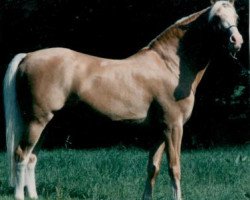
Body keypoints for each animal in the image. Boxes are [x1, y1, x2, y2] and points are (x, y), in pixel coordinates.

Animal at [2, 0, 243, 200]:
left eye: (236, 17)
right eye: (216, 18)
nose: (236, 41)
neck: (169, 66)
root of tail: (28, 56)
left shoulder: (159, 130)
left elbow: (152, 167)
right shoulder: (173, 127)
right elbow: (174, 168)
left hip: (45, 123)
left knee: (31, 159)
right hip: (36, 121)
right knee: (21, 156)